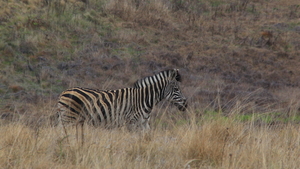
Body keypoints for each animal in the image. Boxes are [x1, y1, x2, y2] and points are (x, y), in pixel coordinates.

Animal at [52, 68, 186, 142]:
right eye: (176, 89)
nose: (185, 104)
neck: (144, 99)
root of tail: (64, 92)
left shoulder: (144, 124)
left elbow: (148, 139)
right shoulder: (132, 123)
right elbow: (132, 140)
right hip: (69, 118)